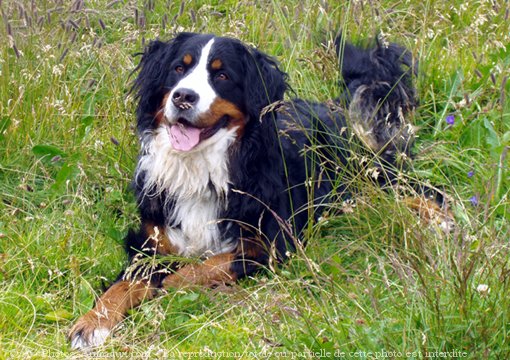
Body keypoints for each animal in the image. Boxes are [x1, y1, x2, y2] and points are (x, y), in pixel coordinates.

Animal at [67, 32, 450, 350]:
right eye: (179, 68)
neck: (200, 169)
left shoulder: (272, 240)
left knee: (424, 189)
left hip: (367, 176)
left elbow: (213, 263)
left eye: (221, 76)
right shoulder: (150, 242)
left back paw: (441, 220)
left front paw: (174, 282)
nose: (183, 97)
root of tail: (334, 106)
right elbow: (123, 283)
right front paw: (92, 323)